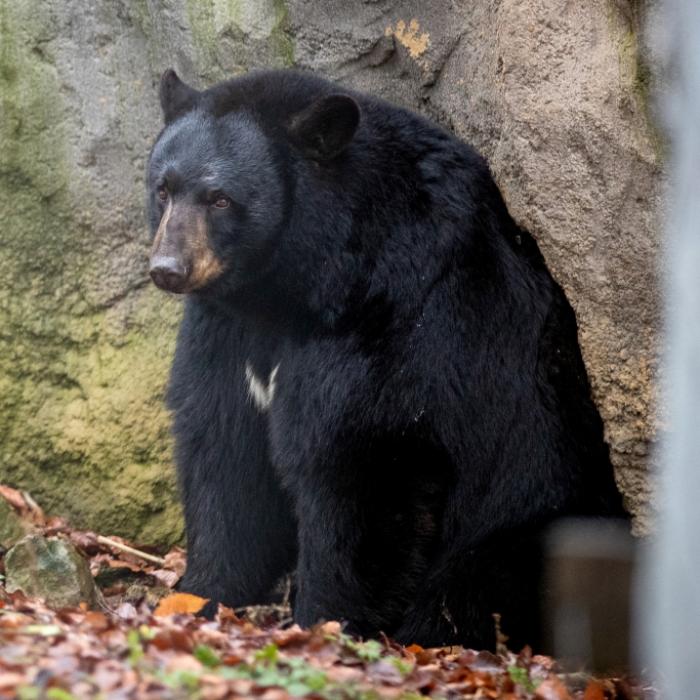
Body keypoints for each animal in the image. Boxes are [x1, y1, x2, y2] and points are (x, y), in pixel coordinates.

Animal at [147, 67, 627, 651]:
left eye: (220, 198)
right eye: (163, 188)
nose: (168, 267)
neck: (289, 289)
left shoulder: (396, 311)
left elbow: (360, 457)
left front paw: (325, 622)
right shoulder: (228, 330)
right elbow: (224, 443)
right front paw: (199, 594)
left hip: (540, 506)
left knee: (477, 577)